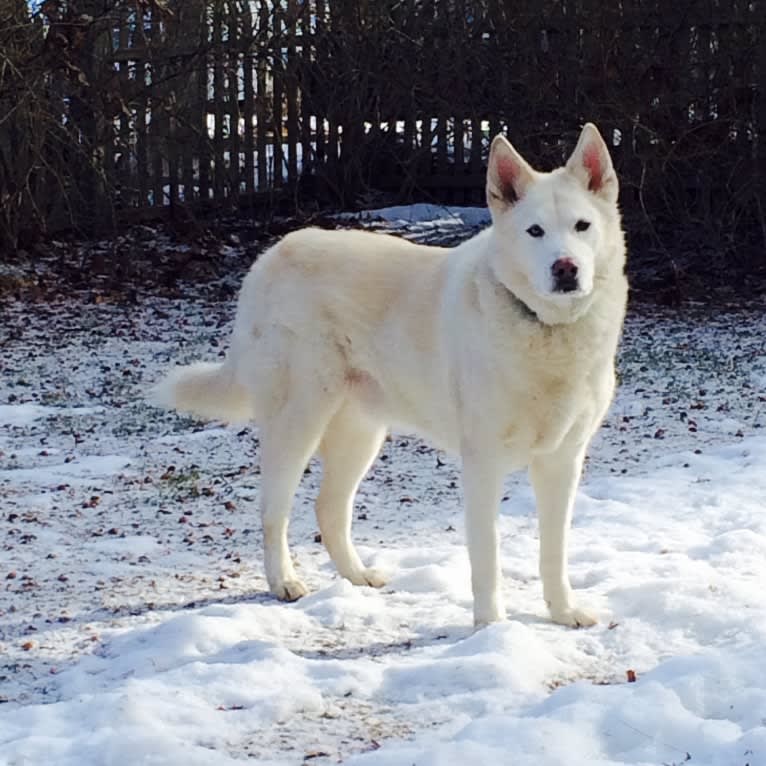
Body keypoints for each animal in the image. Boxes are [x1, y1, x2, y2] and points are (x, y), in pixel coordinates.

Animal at [153, 123, 628, 632]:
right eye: (534, 231)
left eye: (582, 226)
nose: (566, 268)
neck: (547, 329)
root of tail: (268, 257)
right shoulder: (482, 462)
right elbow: (487, 555)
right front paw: (491, 628)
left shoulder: (563, 461)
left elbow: (554, 551)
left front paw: (563, 612)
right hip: (296, 423)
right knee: (272, 511)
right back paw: (285, 582)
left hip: (360, 433)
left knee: (328, 507)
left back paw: (357, 576)